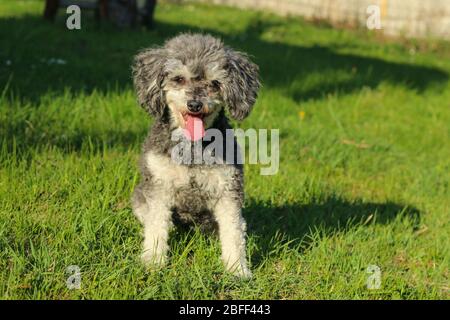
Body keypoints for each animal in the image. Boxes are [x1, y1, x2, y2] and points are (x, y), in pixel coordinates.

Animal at [130, 33, 260, 278]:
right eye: (179, 79)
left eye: (215, 83)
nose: (195, 104)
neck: (191, 148)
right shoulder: (158, 187)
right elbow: (156, 226)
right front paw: (153, 261)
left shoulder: (228, 190)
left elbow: (234, 231)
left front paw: (237, 269)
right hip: (139, 196)